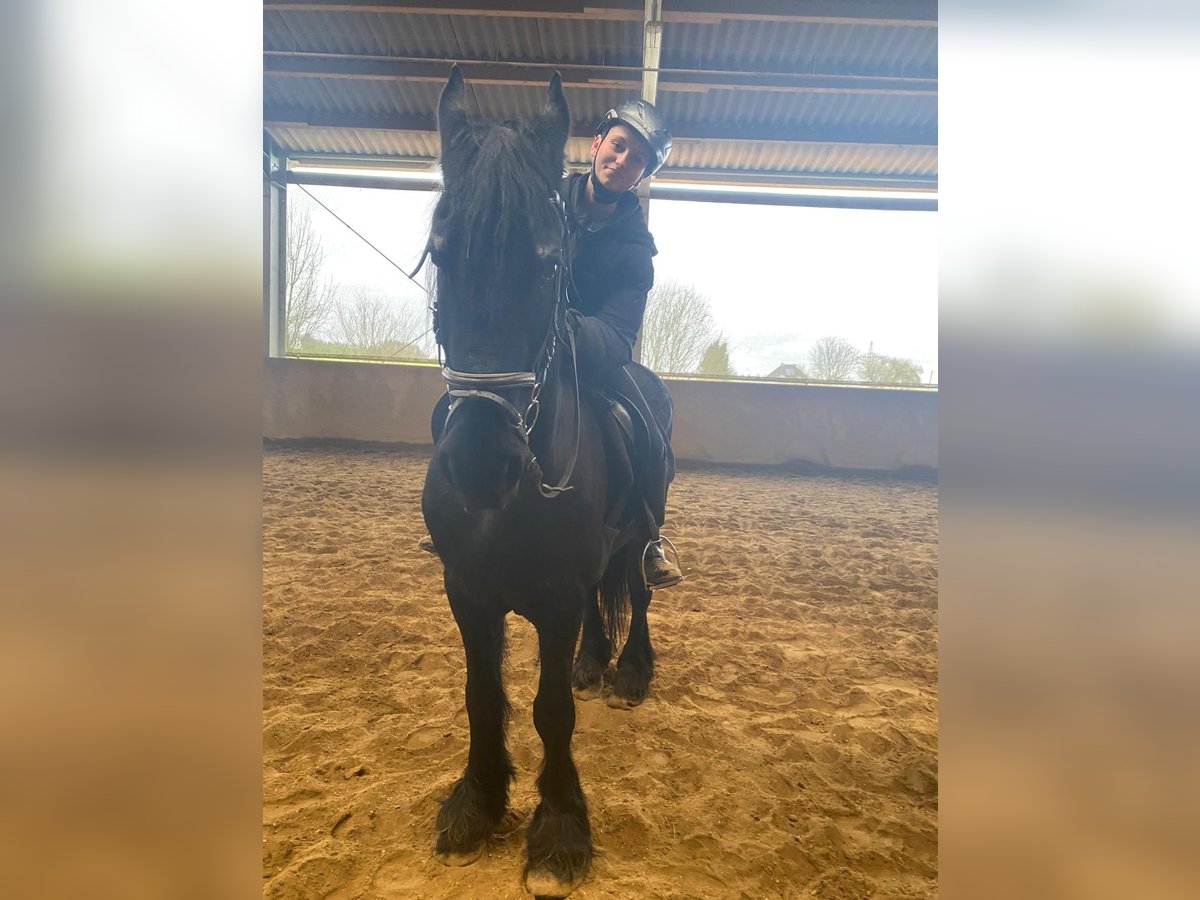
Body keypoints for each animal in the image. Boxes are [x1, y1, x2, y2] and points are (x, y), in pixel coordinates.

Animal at [420, 66, 670, 897]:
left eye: (548, 265)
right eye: (441, 255)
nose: (480, 463)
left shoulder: (555, 598)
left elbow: (551, 709)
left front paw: (560, 830)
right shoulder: (468, 590)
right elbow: (482, 695)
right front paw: (476, 802)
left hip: (643, 532)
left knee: (638, 587)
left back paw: (627, 673)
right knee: (604, 596)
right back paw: (598, 662)